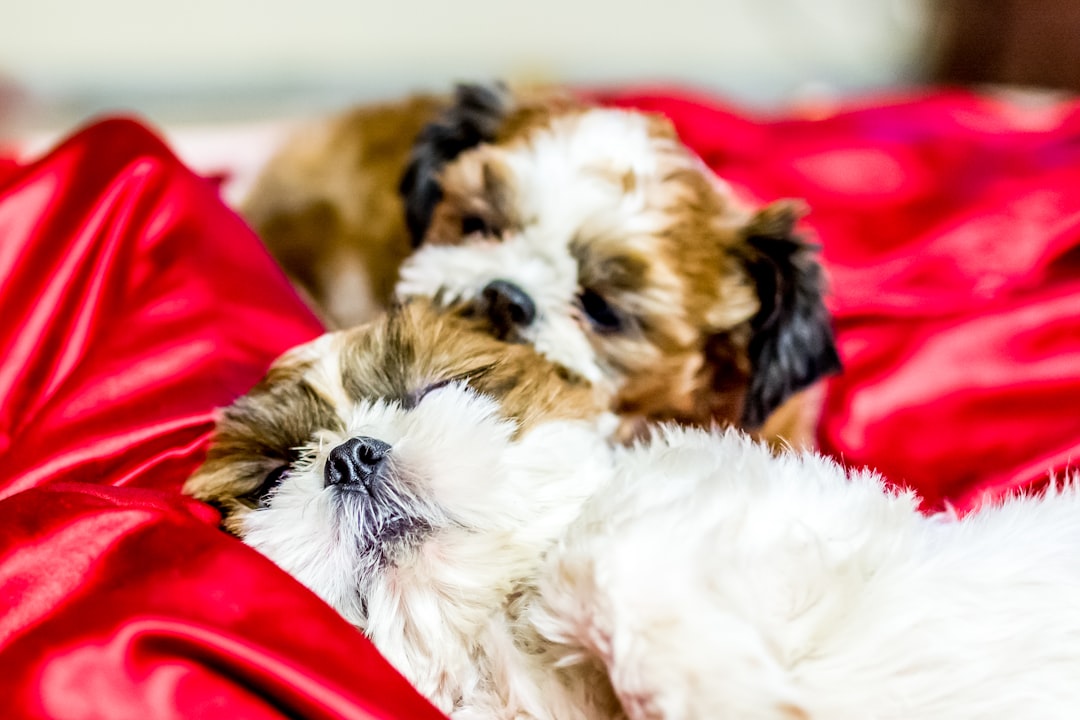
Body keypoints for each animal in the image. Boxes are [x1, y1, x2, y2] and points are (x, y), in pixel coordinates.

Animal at [187, 302, 1080, 720]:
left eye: (437, 389)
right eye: (274, 477)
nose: (349, 456)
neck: (492, 636)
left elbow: (605, 562)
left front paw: (725, 692)